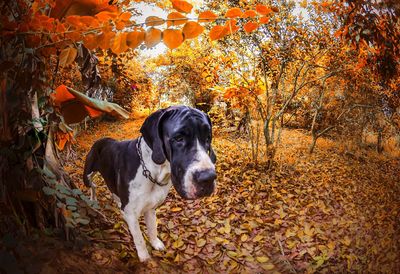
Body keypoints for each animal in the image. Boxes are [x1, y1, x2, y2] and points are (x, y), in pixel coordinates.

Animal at [82, 105, 217, 262]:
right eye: (179, 138)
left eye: (208, 138)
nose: (208, 177)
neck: (152, 171)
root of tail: (100, 140)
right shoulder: (132, 213)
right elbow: (139, 238)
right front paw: (145, 258)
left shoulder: (151, 208)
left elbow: (153, 228)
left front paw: (155, 243)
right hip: (87, 175)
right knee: (93, 186)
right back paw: (93, 199)